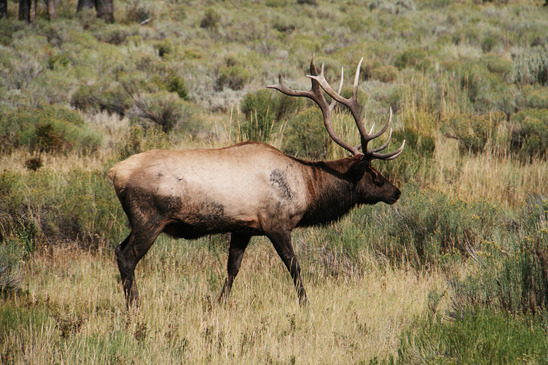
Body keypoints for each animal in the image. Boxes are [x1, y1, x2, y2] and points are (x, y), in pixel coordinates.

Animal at [109, 57, 404, 306]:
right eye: (374, 175)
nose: (397, 192)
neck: (308, 189)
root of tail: (114, 173)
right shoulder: (277, 224)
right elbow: (294, 266)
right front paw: (305, 304)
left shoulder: (243, 228)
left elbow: (233, 268)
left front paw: (220, 303)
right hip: (149, 219)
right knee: (127, 257)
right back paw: (134, 305)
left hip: (138, 221)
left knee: (118, 249)